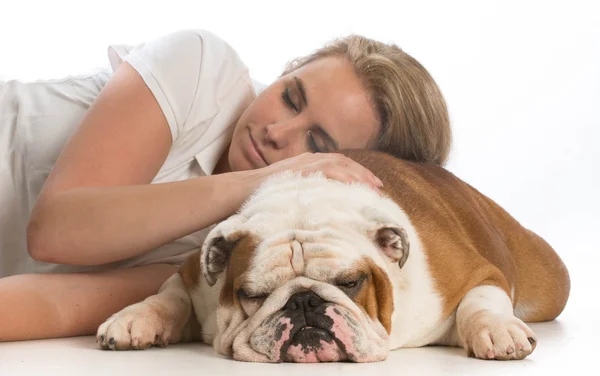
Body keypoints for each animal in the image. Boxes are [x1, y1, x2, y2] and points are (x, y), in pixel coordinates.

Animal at [96, 149, 568, 362]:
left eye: (351, 283)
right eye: (252, 294)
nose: (304, 302)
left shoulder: (474, 273)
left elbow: (482, 300)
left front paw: (497, 330)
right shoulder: (194, 275)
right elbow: (167, 296)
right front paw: (133, 319)